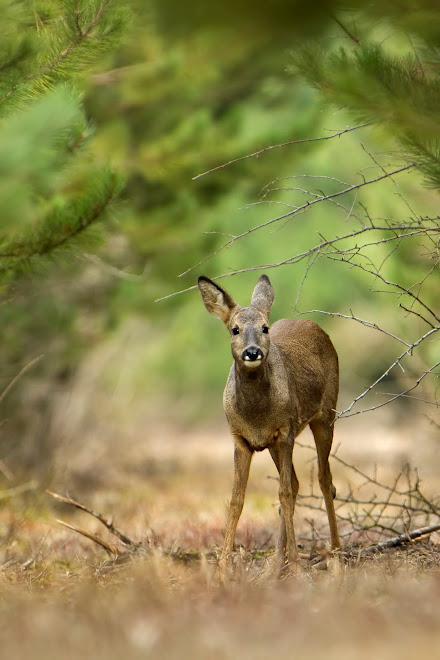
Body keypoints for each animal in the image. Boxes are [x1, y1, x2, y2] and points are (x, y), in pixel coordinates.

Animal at [198, 274, 342, 572]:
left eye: (264, 327)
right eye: (235, 329)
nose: (252, 352)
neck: (257, 416)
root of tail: (311, 324)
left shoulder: (285, 433)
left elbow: (284, 493)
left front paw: (297, 566)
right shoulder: (240, 440)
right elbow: (236, 499)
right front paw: (222, 568)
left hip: (325, 415)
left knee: (325, 480)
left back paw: (335, 550)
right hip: (280, 443)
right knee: (298, 483)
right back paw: (276, 562)